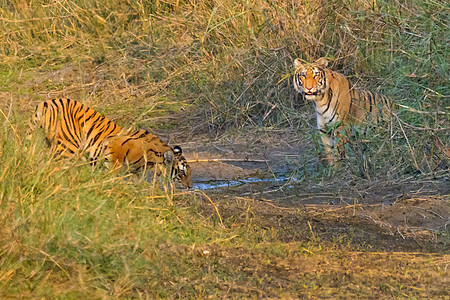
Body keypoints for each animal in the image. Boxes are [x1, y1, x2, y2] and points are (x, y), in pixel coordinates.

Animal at [29, 98, 192, 188]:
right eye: (182, 172)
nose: (190, 186)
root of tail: (45, 103)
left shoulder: (134, 170)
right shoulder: (115, 150)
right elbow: (111, 172)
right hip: (67, 147)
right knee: (57, 168)